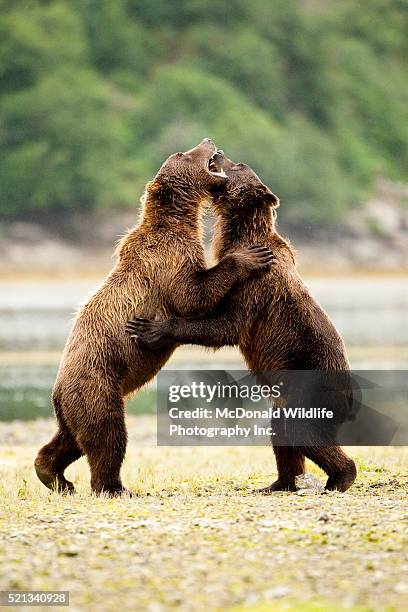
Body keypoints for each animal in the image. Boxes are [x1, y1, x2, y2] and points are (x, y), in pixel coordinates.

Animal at [34, 141, 270, 494]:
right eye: (184, 155)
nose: (208, 141)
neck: (180, 222)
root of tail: (57, 391)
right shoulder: (168, 258)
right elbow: (192, 295)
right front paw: (249, 256)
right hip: (97, 385)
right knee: (107, 437)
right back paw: (113, 486)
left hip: (73, 405)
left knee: (70, 440)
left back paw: (53, 474)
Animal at [126, 155, 356, 494]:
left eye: (238, 165)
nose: (219, 153)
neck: (242, 235)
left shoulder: (257, 284)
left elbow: (226, 325)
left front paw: (153, 329)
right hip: (288, 396)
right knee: (281, 430)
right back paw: (278, 483)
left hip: (314, 382)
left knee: (301, 430)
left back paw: (341, 477)